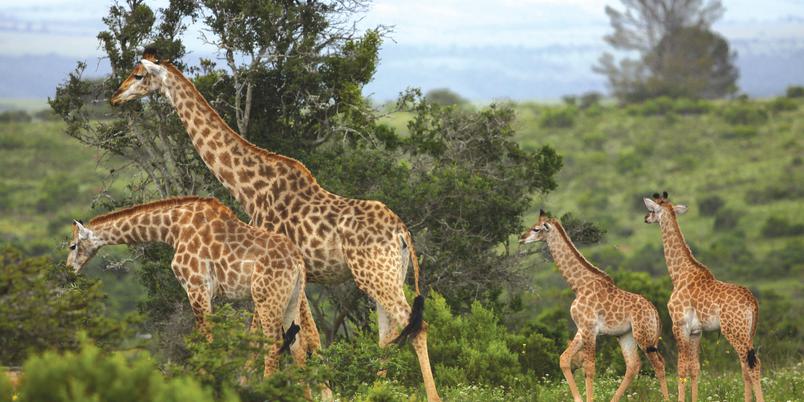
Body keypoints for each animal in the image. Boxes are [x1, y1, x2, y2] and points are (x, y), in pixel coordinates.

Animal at [66, 196, 308, 378]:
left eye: (72, 245)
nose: (68, 271)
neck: (173, 228)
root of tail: (298, 261)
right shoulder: (207, 292)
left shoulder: (196, 286)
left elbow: (206, 338)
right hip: (291, 299)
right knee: (298, 348)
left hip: (266, 298)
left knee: (274, 343)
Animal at [110, 48, 440, 401]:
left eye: (138, 74)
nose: (115, 96)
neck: (250, 188)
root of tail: (402, 232)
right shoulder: (294, 275)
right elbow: (304, 336)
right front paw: (318, 389)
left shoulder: (275, 269)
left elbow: (280, 335)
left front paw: (253, 384)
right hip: (387, 275)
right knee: (389, 331)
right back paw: (377, 389)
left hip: (376, 275)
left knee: (414, 324)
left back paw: (429, 395)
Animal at [520, 210, 670, 402]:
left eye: (536, 228)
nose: (521, 238)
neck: (579, 285)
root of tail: (655, 312)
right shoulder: (582, 328)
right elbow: (564, 358)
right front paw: (578, 398)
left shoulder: (590, 328)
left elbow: (589, 368)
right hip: (626, 335)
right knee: (633, 365)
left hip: (644, 335)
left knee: (659, 364)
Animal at [644, 192, 764, 402]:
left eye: (652, 210)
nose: (645, 218)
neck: (679, 274)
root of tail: (753, 302)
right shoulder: (696, 331)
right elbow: (695, 368)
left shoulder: (679, 325)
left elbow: (681, 368)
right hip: (749, 332)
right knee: (747, 366)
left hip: (734, 330)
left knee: (752, 365)